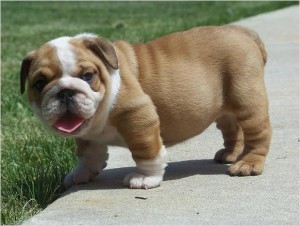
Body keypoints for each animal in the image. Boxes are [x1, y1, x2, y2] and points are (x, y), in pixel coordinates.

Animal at [20, 25, 272, 189]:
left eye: (88, 75)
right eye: (39, 83)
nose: (65, 92)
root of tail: (242, 31)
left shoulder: (137, 115)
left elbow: (145, 151)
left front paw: (145, 178)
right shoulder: (86, 133)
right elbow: (87, 153)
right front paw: (81, 173)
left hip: (247, 100)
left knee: (257, 134)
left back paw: (248, 163)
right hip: (226, 110)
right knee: (232, 128)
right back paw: (230, 154)